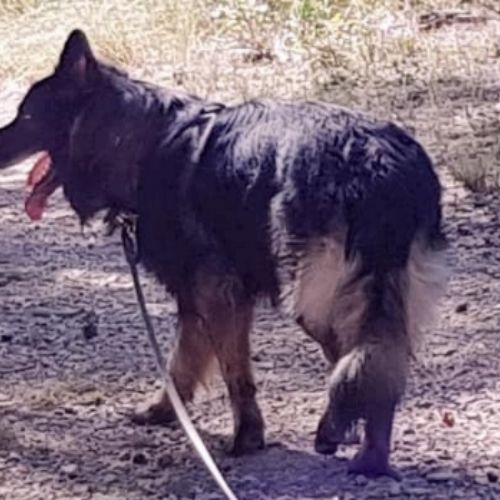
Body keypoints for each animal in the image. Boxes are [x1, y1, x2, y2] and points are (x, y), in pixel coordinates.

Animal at [0, 30, 448, 478]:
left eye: (26, 117)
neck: (142, 141)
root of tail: (376, 164)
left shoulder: (216, 292)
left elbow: (233, 371)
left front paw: (247, 437)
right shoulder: (197, 296)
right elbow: (182, 362)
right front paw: (164, 411)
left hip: (315, 300)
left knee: (354, 362)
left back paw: (342, 438)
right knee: (379, 365)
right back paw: (371, 456)